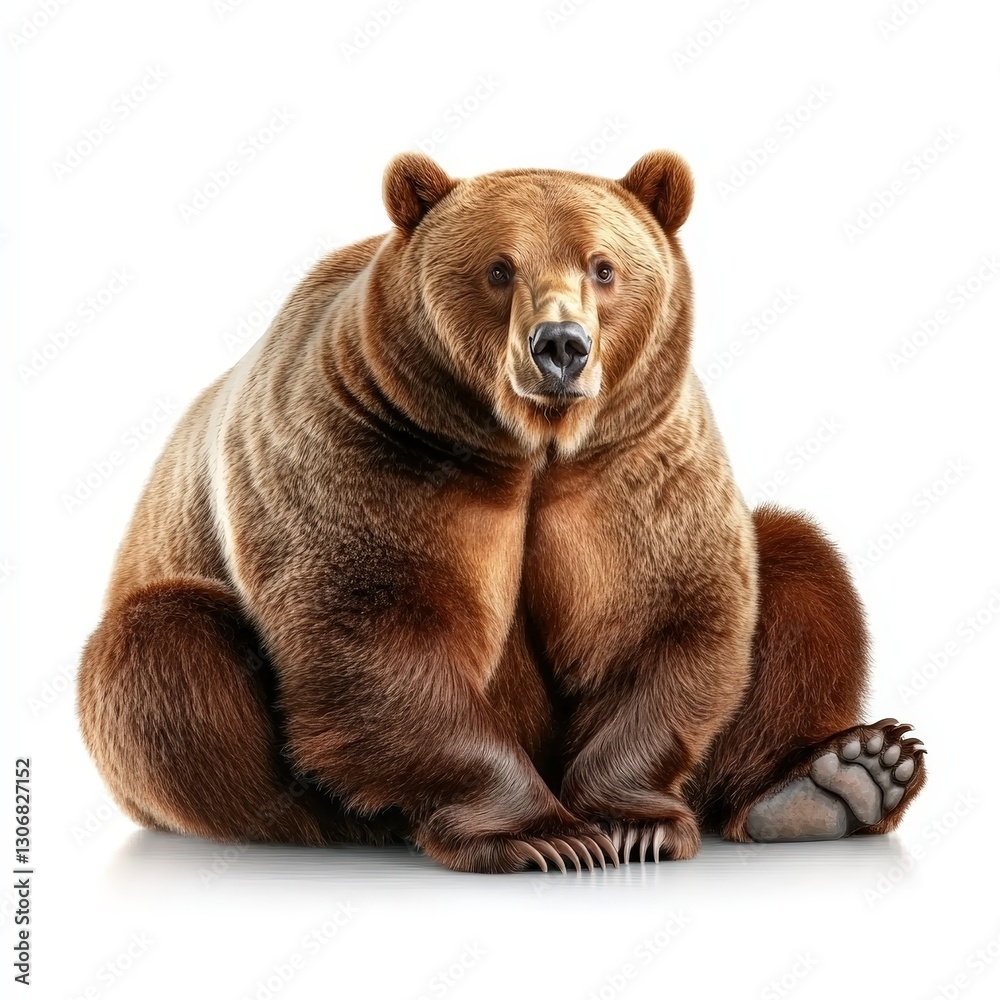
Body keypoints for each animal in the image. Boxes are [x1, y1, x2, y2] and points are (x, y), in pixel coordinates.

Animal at [76, 150, 926, 873]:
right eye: (498, 268)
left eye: (604, 267)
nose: (561, 346)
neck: (529, 452)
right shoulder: (372, 454)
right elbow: (379, 636)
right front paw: (544, 836)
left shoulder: (632, 467)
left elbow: (665, 619)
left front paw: (631, 823)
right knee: (164, 648)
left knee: (798, 561)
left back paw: (838, 780)